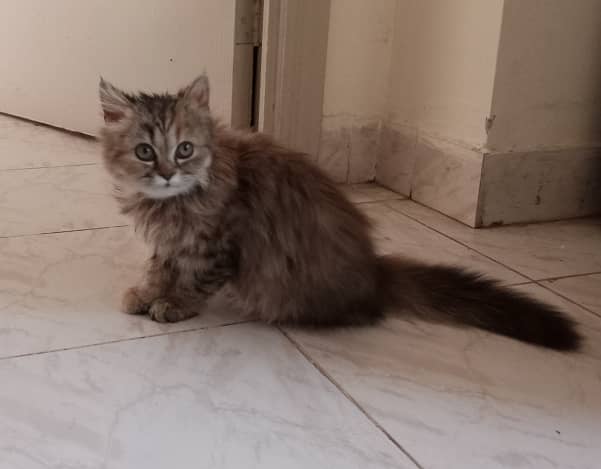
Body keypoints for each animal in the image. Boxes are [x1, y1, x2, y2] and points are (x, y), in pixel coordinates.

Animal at [99, 74, 580, 352]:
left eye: (184, 150)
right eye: (145, 152)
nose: (166, 174)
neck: (172, 203)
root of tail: (376, 271)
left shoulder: (218, 245)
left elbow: (193, 281)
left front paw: (174, 304)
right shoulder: (171, 242)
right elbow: (159, 267)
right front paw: (146, 293)